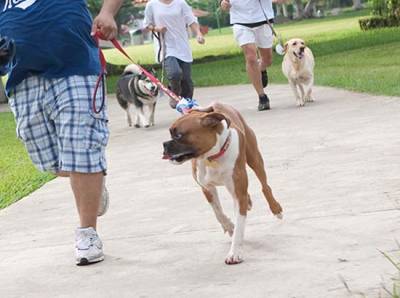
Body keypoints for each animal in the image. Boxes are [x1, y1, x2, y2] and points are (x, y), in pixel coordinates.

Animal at [161, 103, 282, 266]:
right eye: (170, 133)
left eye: (178, 135)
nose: (164, 144)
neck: (212, 157)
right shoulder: (207, 188)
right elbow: (218, 213)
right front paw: (230, 227)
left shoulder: (238, 194)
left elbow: (239, 226)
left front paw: (234, 253)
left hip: (255, 159)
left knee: (265, 186)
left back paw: (276, 208)